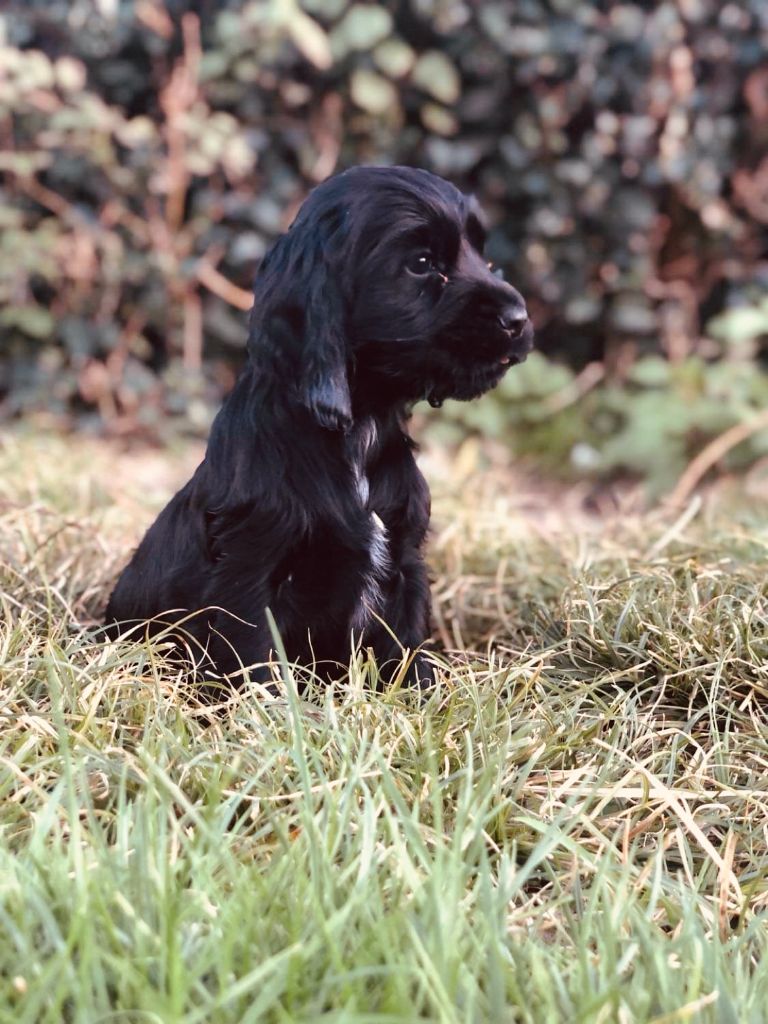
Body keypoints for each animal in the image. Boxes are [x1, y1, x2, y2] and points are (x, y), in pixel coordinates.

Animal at [105, 167, 532, 688]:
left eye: (482, 255)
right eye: (422, 263)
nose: (518, 319)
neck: (359, 427)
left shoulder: (406, 560)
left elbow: (407, 649)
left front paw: (423, 695)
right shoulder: (250, 568)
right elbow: (253, 661)